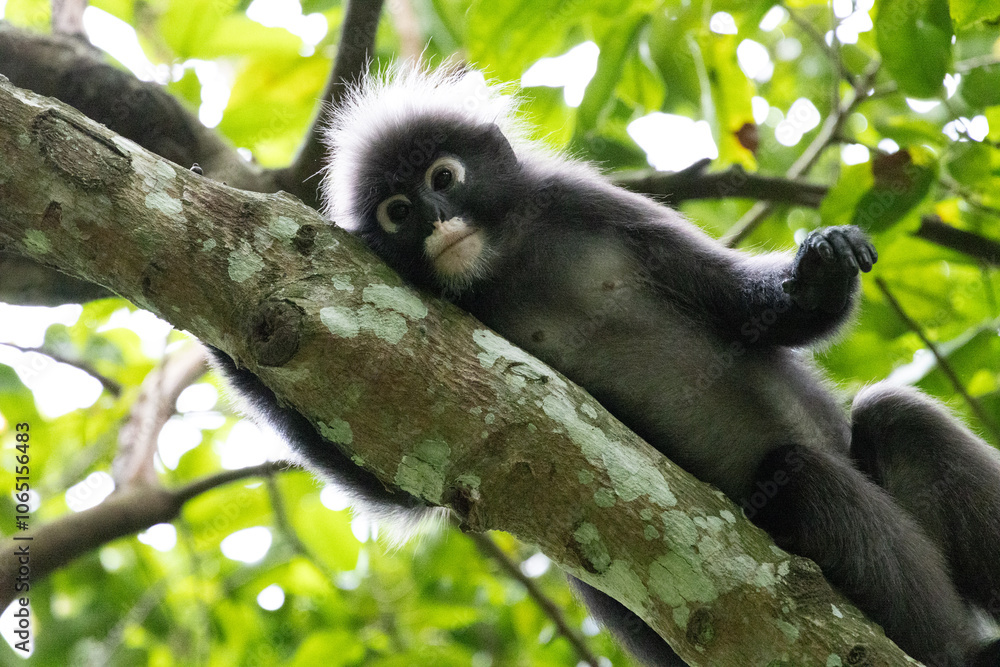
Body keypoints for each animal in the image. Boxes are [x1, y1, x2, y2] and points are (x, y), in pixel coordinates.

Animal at [210, 65, 1000, 667]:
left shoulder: (590, 204)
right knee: (800, 478)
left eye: (444, 177)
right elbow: (399, 483)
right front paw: (218, 335)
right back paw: (959, 651)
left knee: (896, 419)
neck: (510, 261)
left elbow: (755, 309)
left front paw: (820, 269)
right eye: (397, 210)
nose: (436, 222)